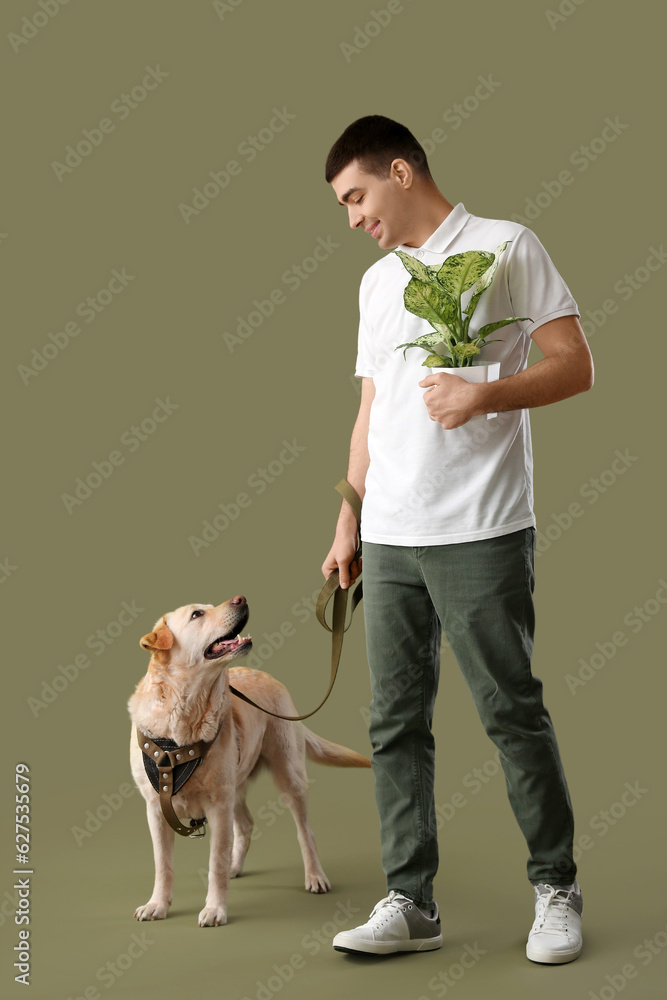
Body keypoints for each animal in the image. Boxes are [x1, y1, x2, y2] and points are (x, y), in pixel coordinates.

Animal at [129, 592, 370, 928]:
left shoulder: (218, 806)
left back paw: (315, 876)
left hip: (289, 777)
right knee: (246, 825)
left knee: (305, 832)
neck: (184, 713)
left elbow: (215, 862)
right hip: (236, 787)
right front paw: (157, 905)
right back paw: (236, 865)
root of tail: (273, 679)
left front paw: (215, 908)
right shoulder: (156, 807)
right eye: (197, 614)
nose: (240, 598)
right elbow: (163, 864)